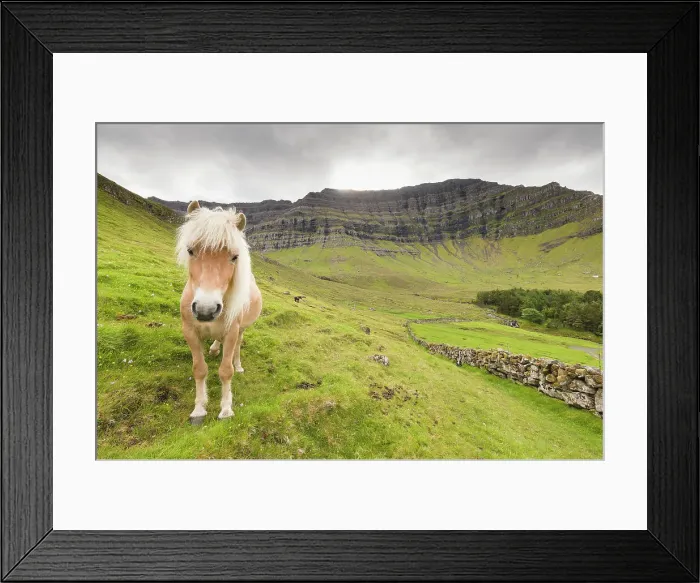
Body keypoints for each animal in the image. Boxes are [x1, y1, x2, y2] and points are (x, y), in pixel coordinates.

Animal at [176, 201, 262, 422]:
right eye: (190, 250)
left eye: (234, 257)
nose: (205, 310)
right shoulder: (189, 332)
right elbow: (199, 369)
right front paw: (199, 408)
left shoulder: (232, 331)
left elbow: (226, 371)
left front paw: (225, 409)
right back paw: (215, 349)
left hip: (241, 329)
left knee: (238, 346)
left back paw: (238, 364)